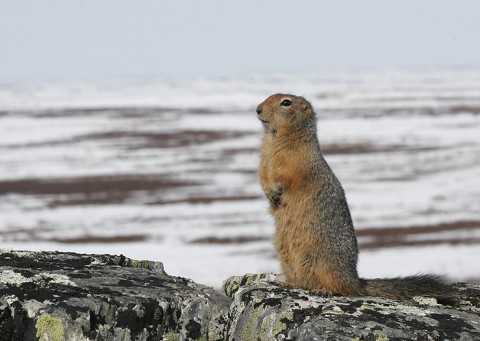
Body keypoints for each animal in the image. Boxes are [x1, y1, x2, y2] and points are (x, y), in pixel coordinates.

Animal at [256, 93, 452, 300]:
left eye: (286, 102)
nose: (257, 109)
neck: (274, 137)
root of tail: (356, 281)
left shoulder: (298, 159)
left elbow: (288, 175)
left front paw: (276, 190)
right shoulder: (264, 157)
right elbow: (262, 174)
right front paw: (269, 192)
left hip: (324, 263)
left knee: (341, 288)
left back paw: (324, 289)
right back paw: (287, 282)